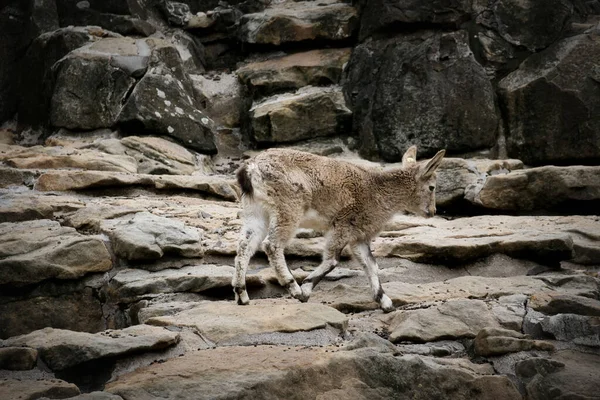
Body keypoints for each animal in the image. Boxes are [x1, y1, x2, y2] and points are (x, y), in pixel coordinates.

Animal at [232, 145, 442, 310]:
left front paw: (385, 301)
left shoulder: (359, 236)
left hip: (256, 211)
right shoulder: (343, 225)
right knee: (271, 245)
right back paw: (293, 287)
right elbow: (333, 260)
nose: (432, 211)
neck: (377, 191)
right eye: (432, 187)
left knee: (245, 246)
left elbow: (371, 264)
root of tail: (250, 168)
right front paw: (305, 289)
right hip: (289, 207)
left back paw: (242, 295)